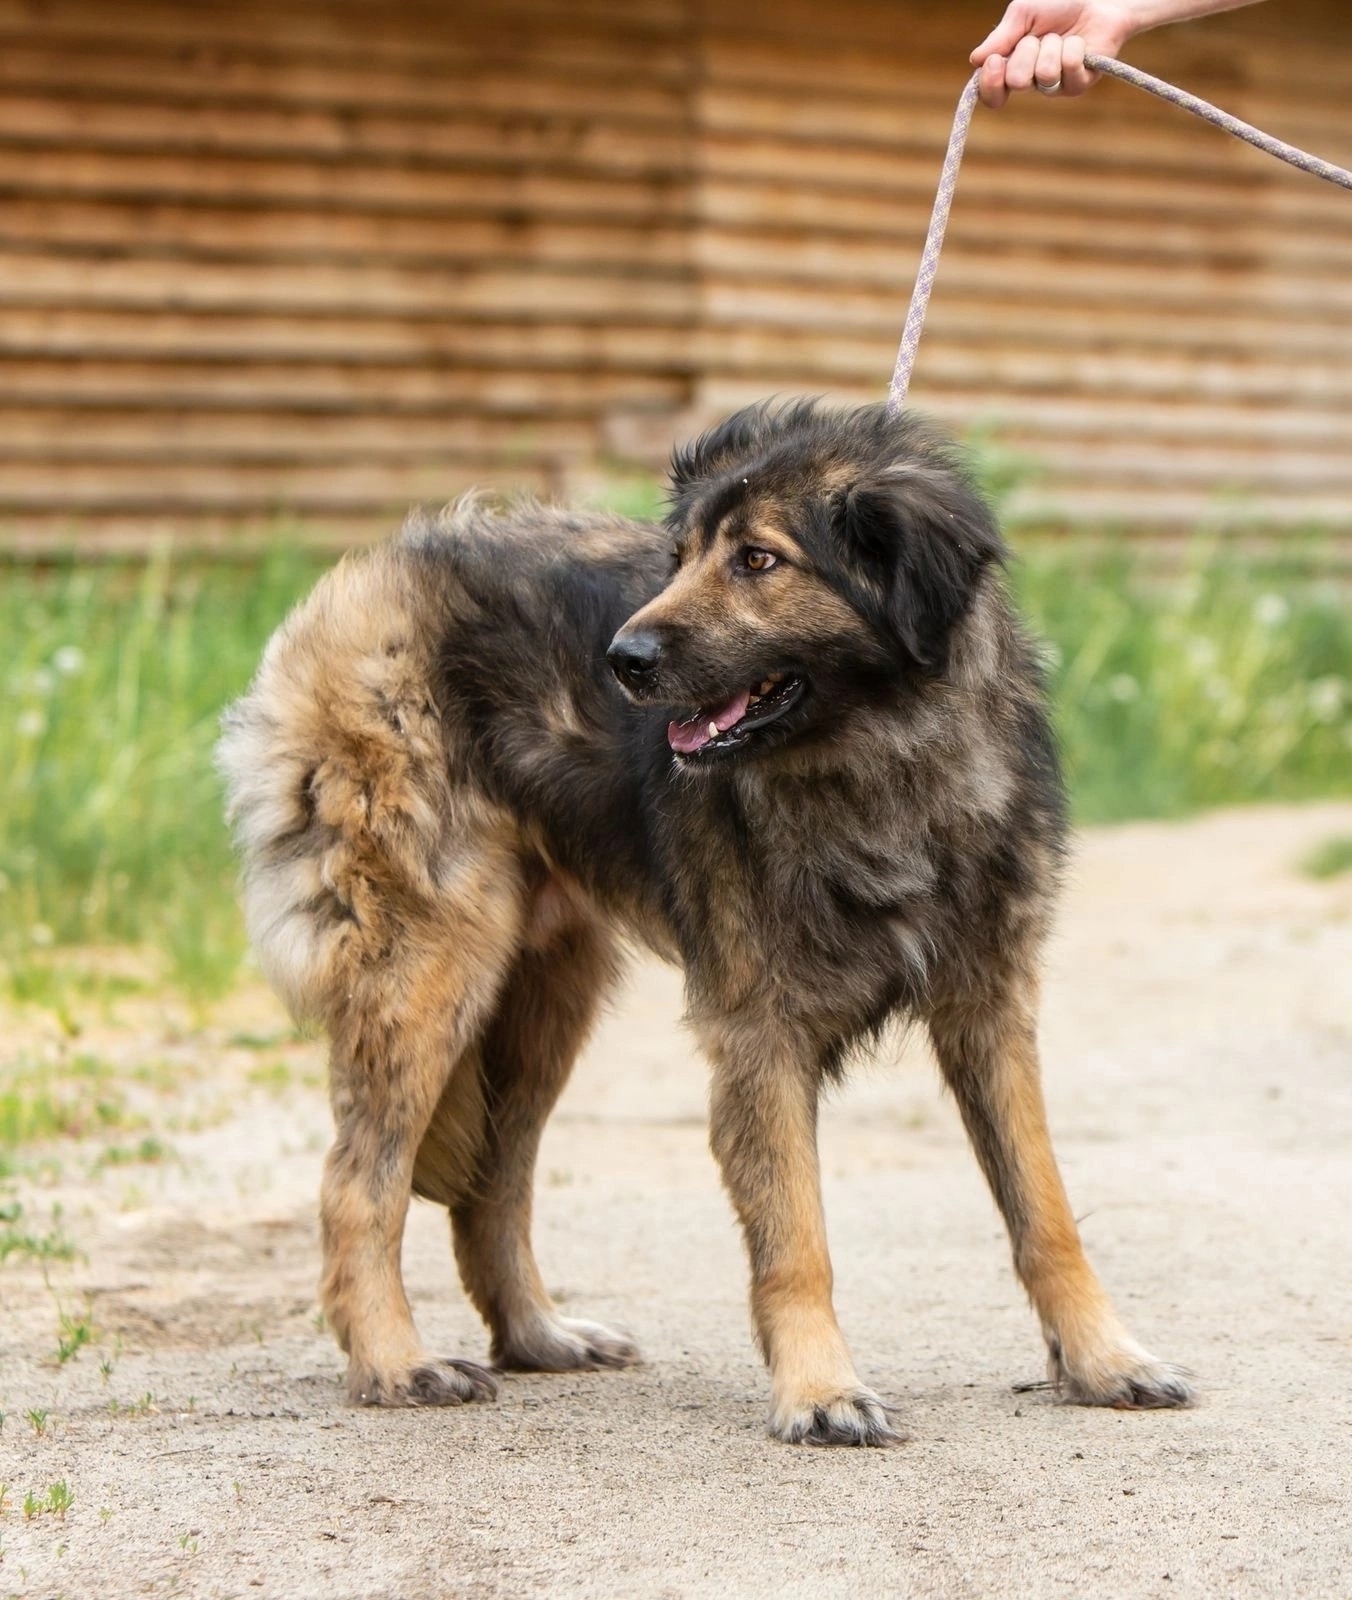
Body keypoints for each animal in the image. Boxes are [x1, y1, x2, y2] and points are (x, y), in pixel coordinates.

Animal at [218, 400, 1190, 1445]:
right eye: (678, 557)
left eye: (758, 559)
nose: (622, 661)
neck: (880, 764)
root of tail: (364, 580)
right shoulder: (760, 1035)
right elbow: (798, 1240)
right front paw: (822, 1391)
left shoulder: (990, 1010)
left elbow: (1044, 1209)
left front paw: (1103, 1360)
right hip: (433, 967)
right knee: (360, 1184)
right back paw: (395, 1364)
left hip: (544, 998)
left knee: (492, 1186)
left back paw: (538, 1337)